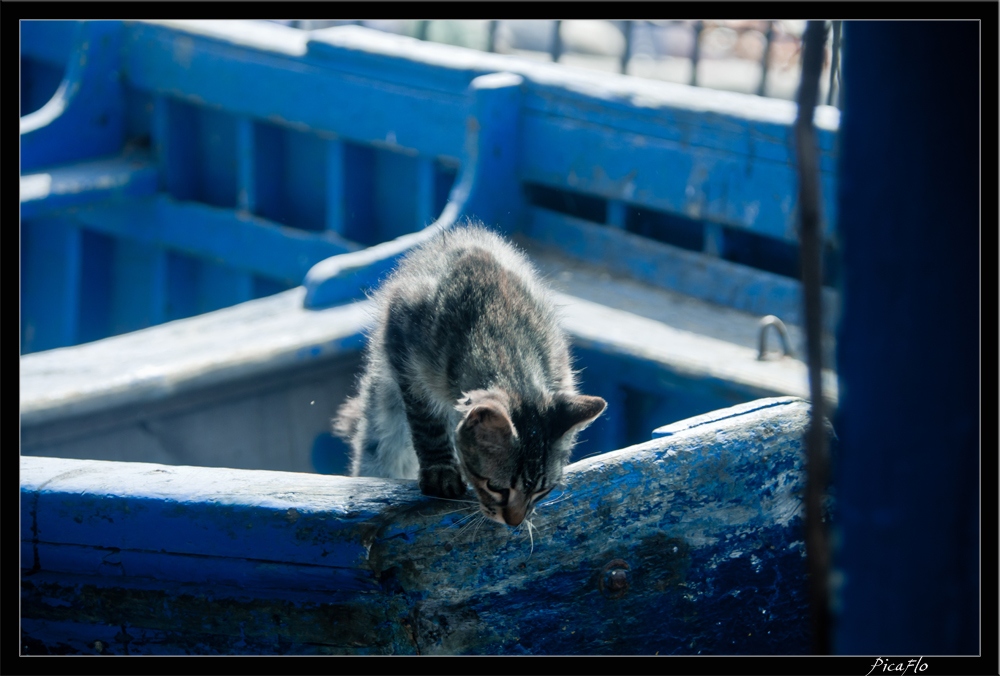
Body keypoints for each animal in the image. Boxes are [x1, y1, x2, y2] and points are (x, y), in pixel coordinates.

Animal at [336, 222, 604, 528]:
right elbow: (428, 427)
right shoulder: (405, 353)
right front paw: (440, 472)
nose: (515, 522)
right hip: (382, 429)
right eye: (496, 487)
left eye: (542, 490)